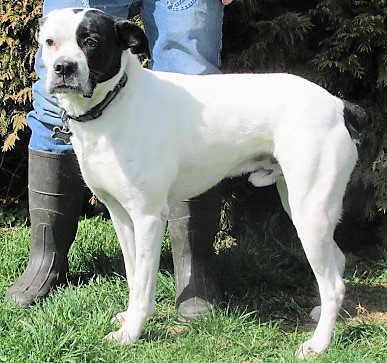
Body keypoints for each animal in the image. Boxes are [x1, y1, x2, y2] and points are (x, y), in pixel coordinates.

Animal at [38, 7, 366, 360]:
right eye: (50, 42)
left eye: (91, 41)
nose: (64, 68)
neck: (117, 102)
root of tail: (338, 105)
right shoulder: (121, 217)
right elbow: (134, 274)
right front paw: (132, 317)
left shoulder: (148, 217)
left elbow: (142, 283)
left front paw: (131, 333)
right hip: (300, 205)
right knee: (338, 262)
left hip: (310, 213)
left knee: (333, 284)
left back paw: (318, 344)